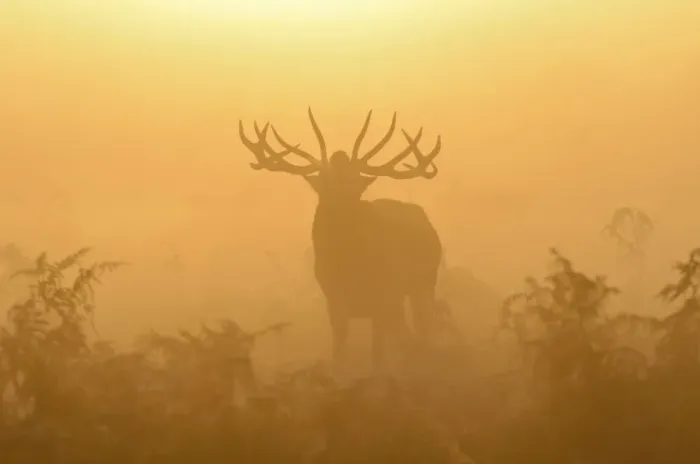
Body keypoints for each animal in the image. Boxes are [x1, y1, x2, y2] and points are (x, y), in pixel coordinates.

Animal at [238, 108, 443, 372]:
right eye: (325, 181)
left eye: (355, 184)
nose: (338, 206)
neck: (349, 265)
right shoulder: (333, 295)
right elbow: (340, 342)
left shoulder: (384, 292)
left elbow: (379, 349)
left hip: (425, 281)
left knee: (422, 326)